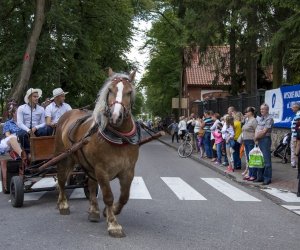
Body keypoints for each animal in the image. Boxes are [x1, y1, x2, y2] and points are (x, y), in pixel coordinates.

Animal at [55, 68, 139, 236]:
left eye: (129, 92)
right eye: (110, 90)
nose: (116, 116)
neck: (120, 138)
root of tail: (68, 114)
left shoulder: (128, 171)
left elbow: (124, 197)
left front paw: (109, 212)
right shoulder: (102, 170)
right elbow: (108, 196)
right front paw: (113, 224)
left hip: (87, 165)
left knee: (91, 184)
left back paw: (94, 210)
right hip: (65, 158)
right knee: (61, 180)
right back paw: (63, 204)